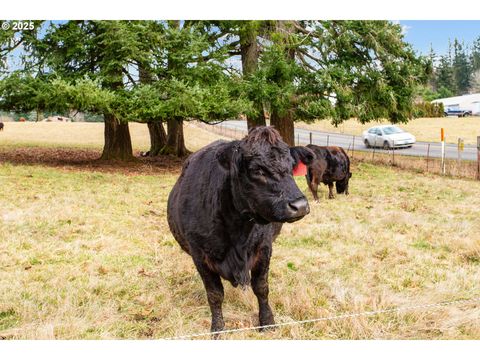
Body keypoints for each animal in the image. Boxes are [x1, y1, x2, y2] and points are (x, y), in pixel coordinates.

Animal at [167, 127, 316, 334]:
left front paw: (267, 322)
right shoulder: (199, 255)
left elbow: (261, 287)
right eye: (257, 170)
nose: (300, 205)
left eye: (291, 165)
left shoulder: (264, 248)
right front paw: (218, 329)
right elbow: (214, 294)